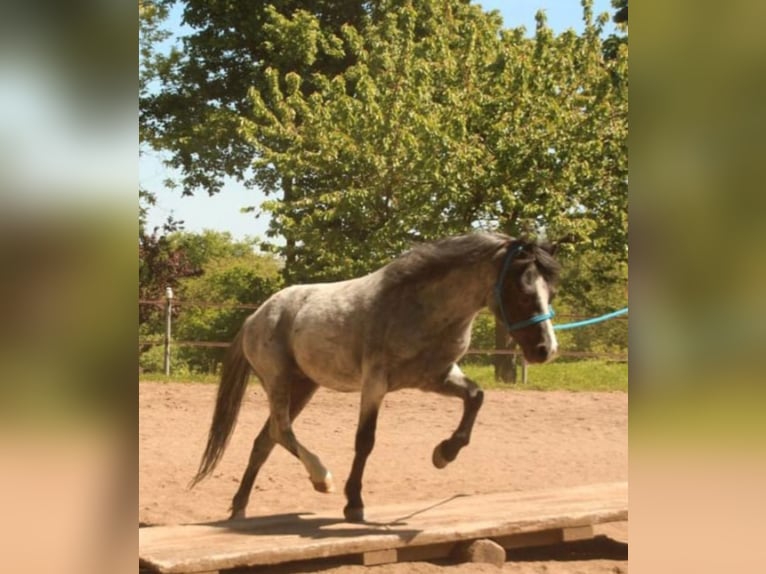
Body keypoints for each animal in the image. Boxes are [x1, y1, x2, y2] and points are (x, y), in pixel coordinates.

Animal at [189, 232, 561, 523]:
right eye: (523, 291)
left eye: (550, 293)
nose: (546, 350)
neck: (421, 308)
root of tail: (255, 316)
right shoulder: (375, 384)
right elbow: (364, 441)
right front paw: (354, 504)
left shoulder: (436, 377)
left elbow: (476, 397)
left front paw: (444, 454)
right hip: (279, 380)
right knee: (281, 431)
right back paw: (321, 478)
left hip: (304, 386)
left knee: (265, 440)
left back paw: (239, 509)